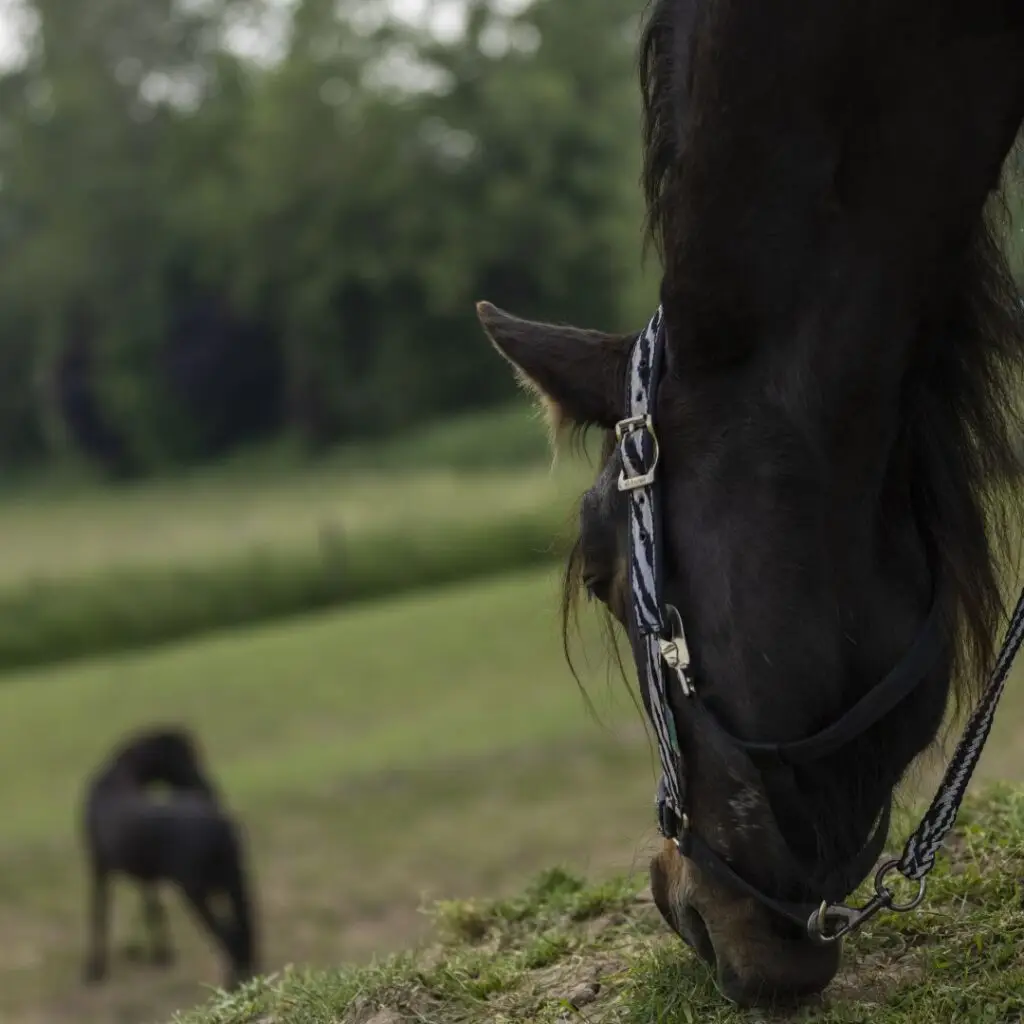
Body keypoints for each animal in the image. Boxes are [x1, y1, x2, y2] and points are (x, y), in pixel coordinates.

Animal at [80, 726, 258, 991]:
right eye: (188, 756)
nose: (209, 787)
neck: (118, 777)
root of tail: (217, 822)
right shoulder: (146, 876)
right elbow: (153, 910)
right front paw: (161, 957)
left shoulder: (99, 867)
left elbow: (100, 917)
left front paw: (95, 971)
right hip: (234, 883)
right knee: (244, 935)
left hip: (197, 891)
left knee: (229, 937)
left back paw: (230, 987)